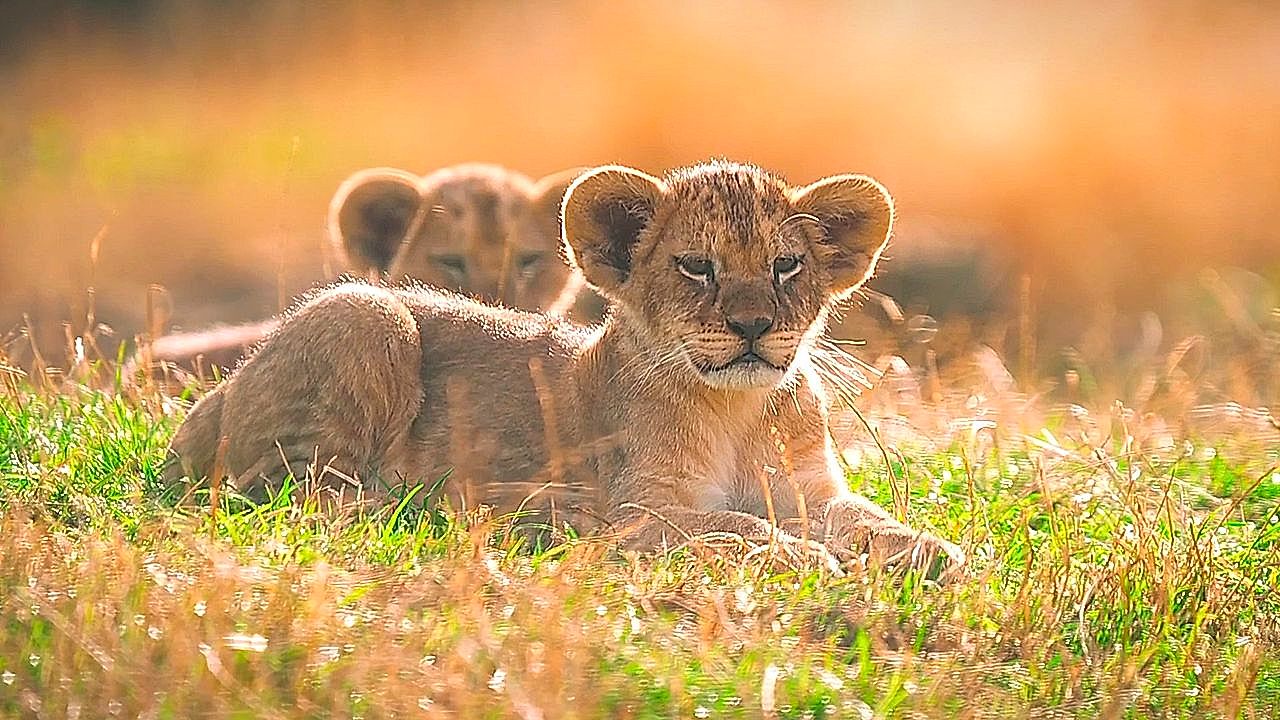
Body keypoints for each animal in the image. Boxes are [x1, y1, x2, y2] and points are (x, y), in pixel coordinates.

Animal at [166, 159, 965, 578]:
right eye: (696, 266)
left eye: (786, 266)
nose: (752, 326)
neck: (736, 411)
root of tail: (213, 396)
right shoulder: (638, 509)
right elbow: (729, 527)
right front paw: (805, 558)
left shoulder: (811, 490)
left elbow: (866, 518)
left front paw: (931, 549)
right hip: (368, 313)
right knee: (293, 496)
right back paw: (462, 509)